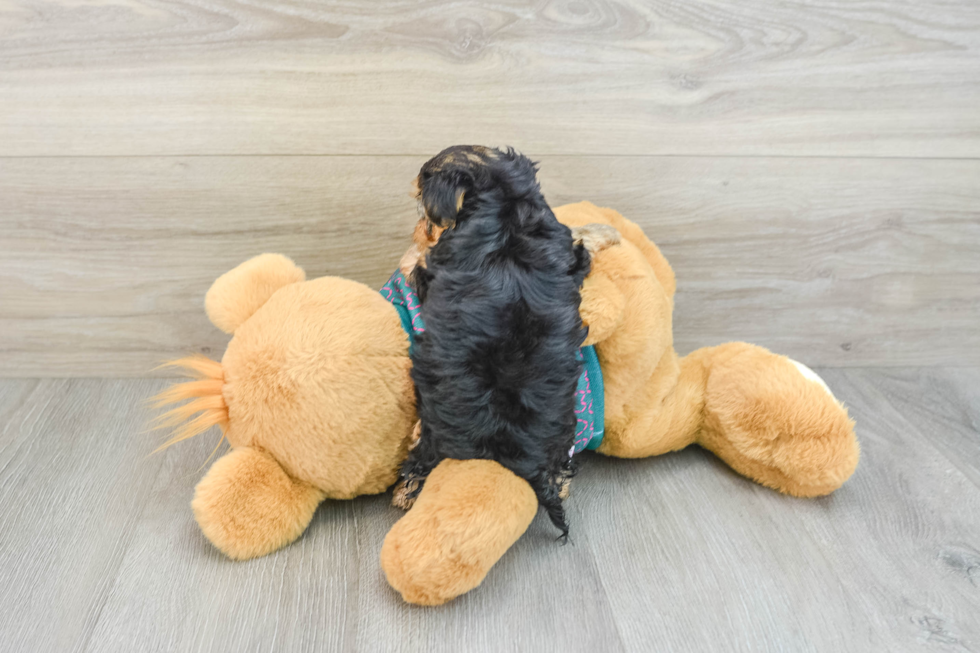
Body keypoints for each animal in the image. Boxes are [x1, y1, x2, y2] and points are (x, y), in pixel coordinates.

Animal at [396, 144, 588, 536]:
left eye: (427, 215)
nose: (420, 228)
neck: (506, 199)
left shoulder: (435, 268)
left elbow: (419, 270)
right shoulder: (566, 248)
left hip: (436, 431)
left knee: (425, 455)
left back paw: (408, 489)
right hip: (562, 421)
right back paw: (560, 480)